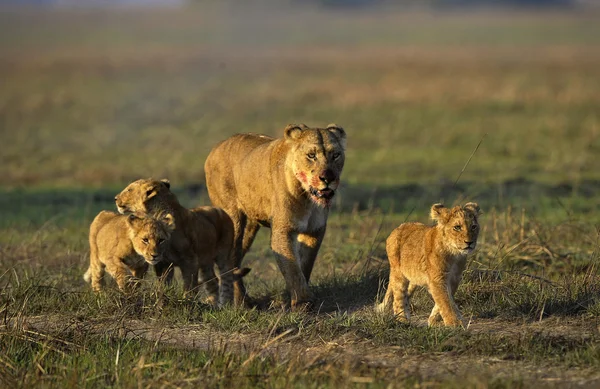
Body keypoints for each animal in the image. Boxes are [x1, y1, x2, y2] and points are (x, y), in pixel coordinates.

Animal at [204, 123, 346, 308]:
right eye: (311, 155)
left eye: (336, 155)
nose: (328, 178)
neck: (308, 199)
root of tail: (216, 147)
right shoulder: (283, 230)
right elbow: (292, 267)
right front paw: (303, 302)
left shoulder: (315, 231)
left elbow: (305, 264)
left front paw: (296, 296)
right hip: (232, 219)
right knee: (228, 260)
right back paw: (242, 302)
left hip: (250, 227)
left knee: (236, 259)